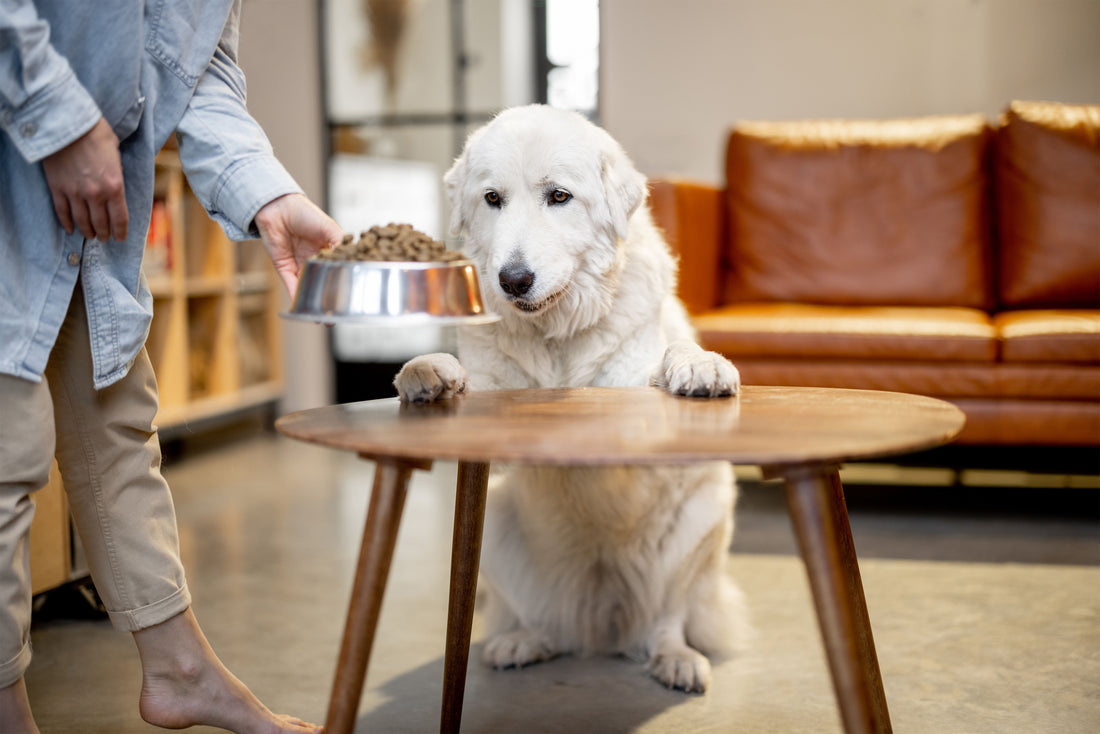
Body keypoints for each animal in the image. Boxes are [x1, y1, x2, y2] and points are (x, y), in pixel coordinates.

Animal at [396, 104, 748, 695]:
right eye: (493, 199)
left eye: (559, 196)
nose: (513, 280)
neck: (557, 336)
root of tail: (602, 625)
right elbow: (463, 377)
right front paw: (427, 371)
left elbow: (669, 357)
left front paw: (700, 364)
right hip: (497, 523)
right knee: (545, 621)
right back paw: (524, 642)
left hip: (703, 520)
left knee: (666, 619)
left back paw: (675, 659)